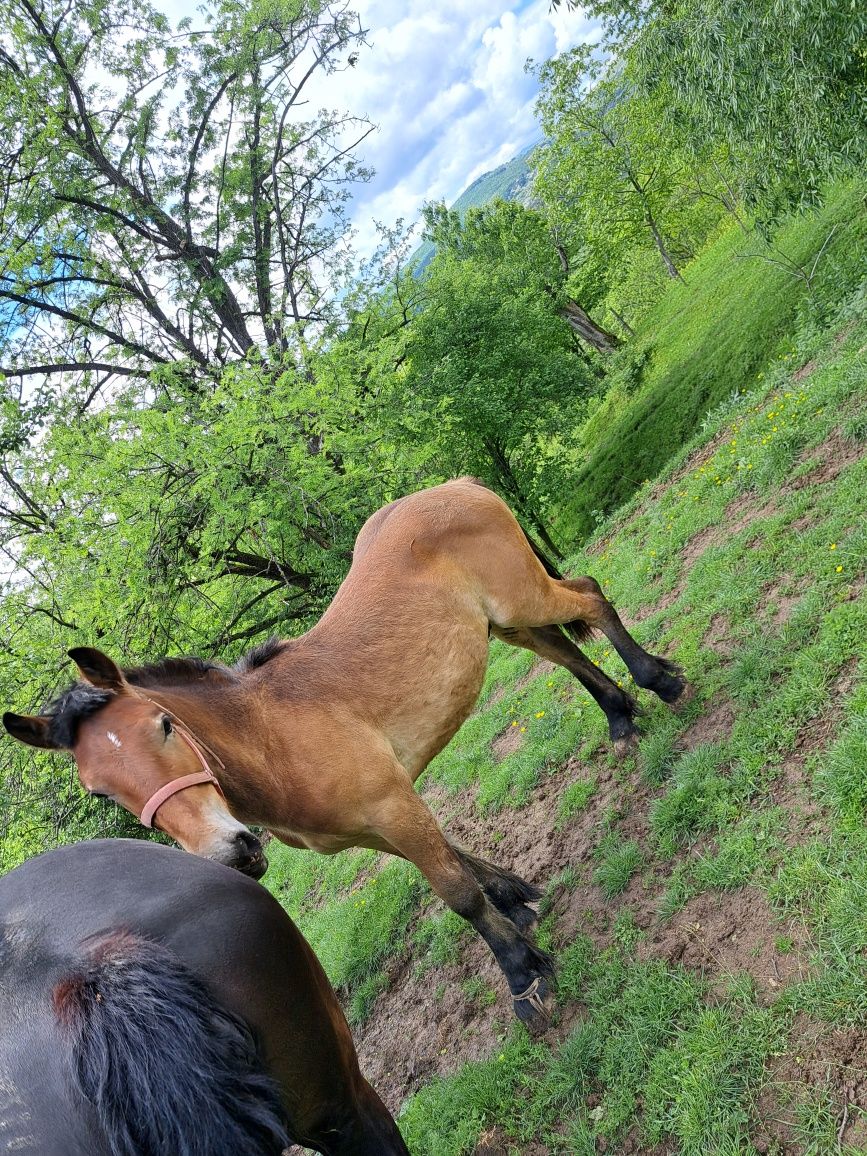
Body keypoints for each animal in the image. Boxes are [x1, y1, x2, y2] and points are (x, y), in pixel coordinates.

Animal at [3, 478, 688, 1031]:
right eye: (99, 790)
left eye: (164, 725)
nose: (233, 853)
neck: (274, 736)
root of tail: (456, 486)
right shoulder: (378, 823)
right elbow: (462, 867)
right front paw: (517, 900)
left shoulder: (391, 806)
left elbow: (457, 893)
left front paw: (525, 978)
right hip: (504, 623)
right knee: (562, 650)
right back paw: (620, 715)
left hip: (524, 596)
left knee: (590, 595)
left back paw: (659, 680)